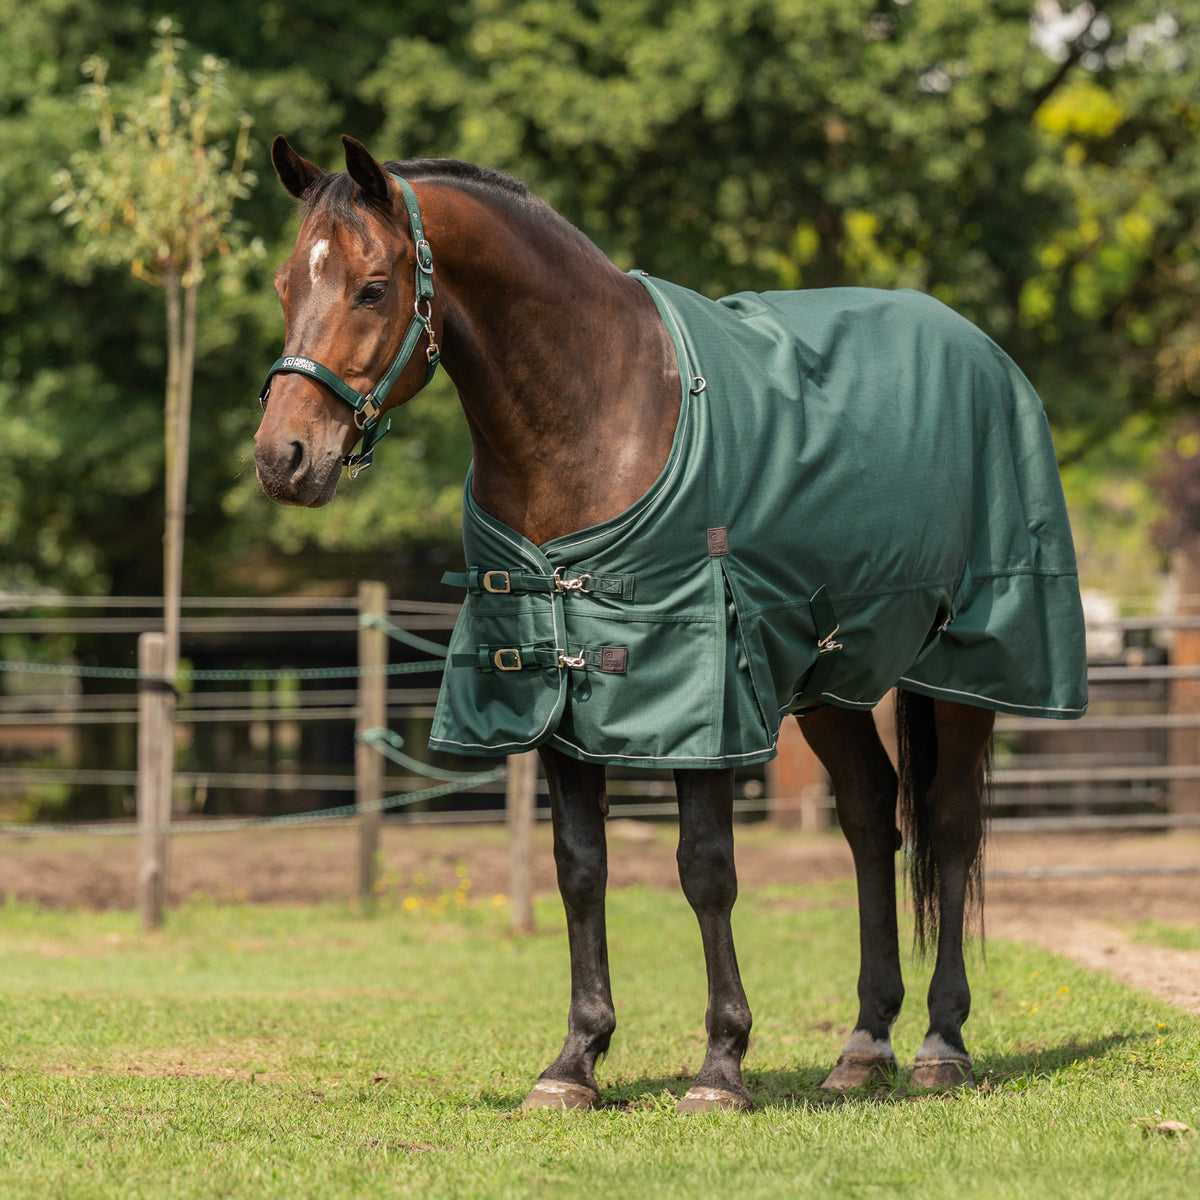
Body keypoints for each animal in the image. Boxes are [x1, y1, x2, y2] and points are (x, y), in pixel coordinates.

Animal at [254, 135, 1088, 1112]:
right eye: (286, 284)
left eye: (373, 287)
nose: (283, 458)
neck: (598, 413)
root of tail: (988, 354)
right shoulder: (557, 694)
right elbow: (580, 866)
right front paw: (574, 1062)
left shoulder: (702, 695)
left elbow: (706, 869)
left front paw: (722, 1065)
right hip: (830, 682)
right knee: (869, 817)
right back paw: (862, 1044)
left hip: (967, 668)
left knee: (950, 826)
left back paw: (941, 1044)